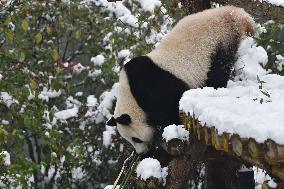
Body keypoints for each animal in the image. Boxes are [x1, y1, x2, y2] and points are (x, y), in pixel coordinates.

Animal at [106, 5, 255, 154]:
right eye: (130, 140)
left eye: (136, 139)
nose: (141, 152)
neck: (131, 95)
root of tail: (235, 13)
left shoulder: (153, 87)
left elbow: (172, 108)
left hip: (219, 42)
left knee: (218, 71)